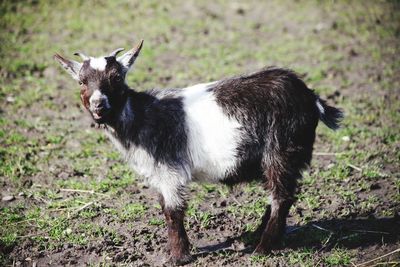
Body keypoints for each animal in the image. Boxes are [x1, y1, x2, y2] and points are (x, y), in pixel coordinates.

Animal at [54, 39, 344, 266]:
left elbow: (173, 211)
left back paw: (263, 248)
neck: (142, 116)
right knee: (278, 196)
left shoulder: (170, 171)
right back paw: (256, 238)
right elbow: (165, 207)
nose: (98, 105)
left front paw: (178, 257)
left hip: (281, 150)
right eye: (81, 82)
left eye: (116, 78)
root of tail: (310, 96)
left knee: (281, 197)